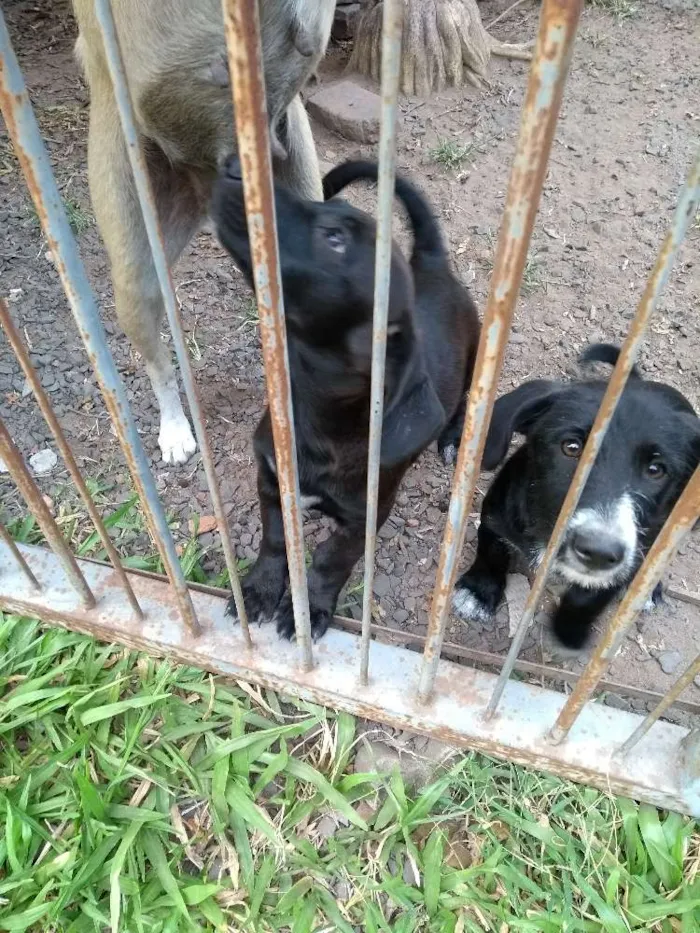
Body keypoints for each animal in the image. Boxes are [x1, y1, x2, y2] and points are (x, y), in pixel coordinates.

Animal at [454, 342, 700, 648]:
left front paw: (569, 631)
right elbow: (491, 552)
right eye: (571, 447)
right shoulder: (495, 518)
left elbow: (590, 597)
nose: (599, 552)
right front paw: (477, 592)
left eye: (656, 470)